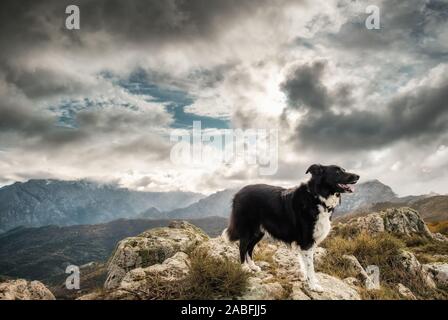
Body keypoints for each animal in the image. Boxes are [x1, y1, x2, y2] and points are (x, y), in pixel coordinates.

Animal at [223, 164, 360, 292]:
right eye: (337, 172)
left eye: (343, 170)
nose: (358, 176)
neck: (317, 197)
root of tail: (238, 193)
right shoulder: (306, 242)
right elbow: (310, 266)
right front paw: (313, 285)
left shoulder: (307, 243)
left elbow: (305, 264)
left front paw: (308, 279)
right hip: (248, 230)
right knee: (242, 247)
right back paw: (244, 268)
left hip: (258, 232)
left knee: (249, 248)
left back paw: (252, 266)